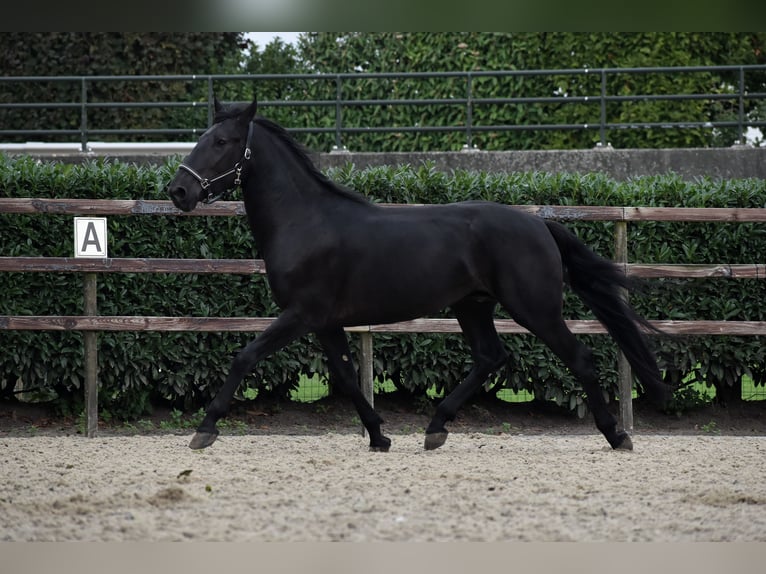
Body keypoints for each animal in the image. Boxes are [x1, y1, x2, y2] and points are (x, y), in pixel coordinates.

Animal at [166, 98, 664, 454]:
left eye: (223, 141)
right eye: (203, 138)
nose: (179, 191)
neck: (305, 221)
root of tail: (539, 225)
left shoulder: (301, 314)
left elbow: (244, 357)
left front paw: (205, 428)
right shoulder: (325, 322)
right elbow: (347, 376)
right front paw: (379, 437)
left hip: (534, 309)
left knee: (578, 357)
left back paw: (618, 437)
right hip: (472, 305)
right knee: (490, 357)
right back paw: (435, 428)